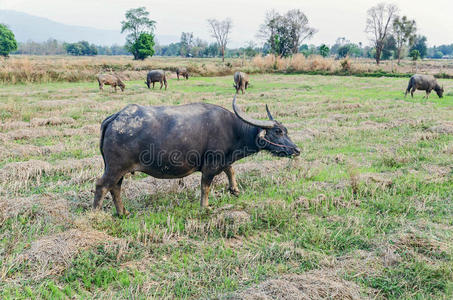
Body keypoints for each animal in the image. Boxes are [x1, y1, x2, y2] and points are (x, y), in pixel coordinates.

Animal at [93, 95, 300, 214]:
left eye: (286, 130)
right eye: (278, 132)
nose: (296, 150)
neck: (234, 130)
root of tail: (115, 117)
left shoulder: (223, 160)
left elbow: (230, 170)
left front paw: (234, 189)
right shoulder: (210, 166)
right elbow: (205, 187)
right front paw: (205, 207)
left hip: (118, 169)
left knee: (115, 187)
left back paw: (123, 213)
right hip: (115, 167)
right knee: (102, 185)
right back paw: (96, 213)